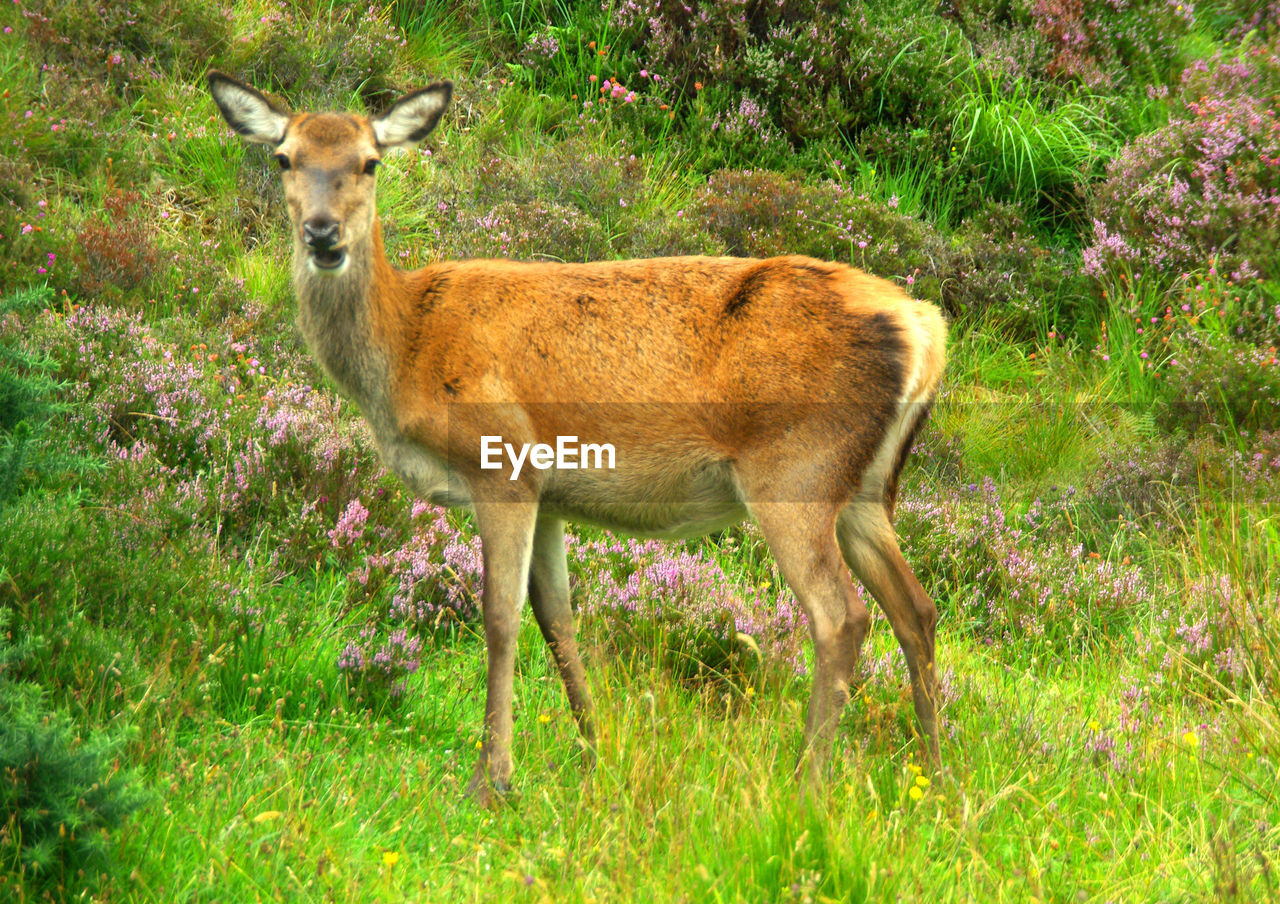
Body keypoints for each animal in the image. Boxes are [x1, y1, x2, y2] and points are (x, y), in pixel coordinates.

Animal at [207, 72, 952, 804]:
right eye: (285, 158)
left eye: (370, 161)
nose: (323, 235)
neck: (406, 349)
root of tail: (925, 329)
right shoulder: (551, 493)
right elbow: (557, 618)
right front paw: (596, 754)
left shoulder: (501, 462)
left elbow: (499, 616)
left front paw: (493, 778)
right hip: (865, 488)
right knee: (916, 609)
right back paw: (937, 779)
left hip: (794, 471)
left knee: (841, 616)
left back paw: (808, 785)